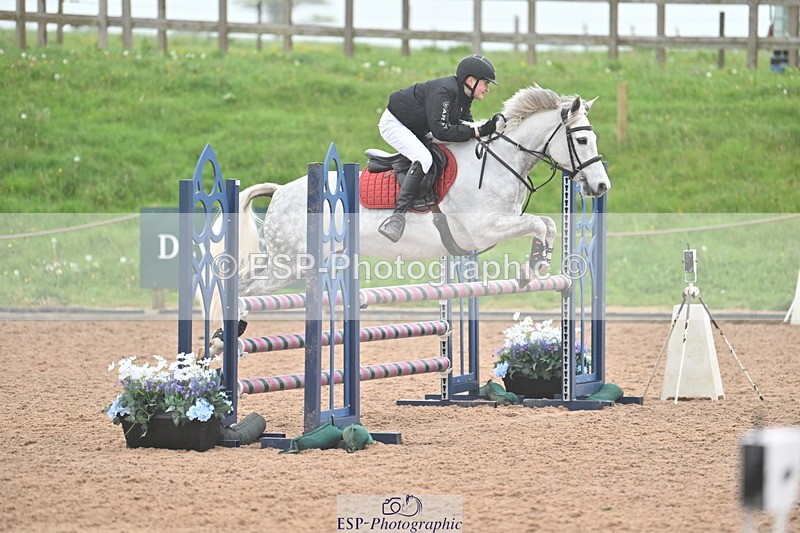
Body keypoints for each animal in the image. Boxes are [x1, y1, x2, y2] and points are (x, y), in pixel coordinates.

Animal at [229, 85, 609, 300]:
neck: (499, 161)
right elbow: (538, 223)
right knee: (246, 291)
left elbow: (547, 223)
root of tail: (280, 191)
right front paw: (533, 266)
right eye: (581, 140)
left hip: (295, 261)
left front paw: (536, 264)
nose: (602, 186)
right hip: (292, 264)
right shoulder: (485, 228)